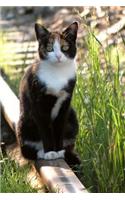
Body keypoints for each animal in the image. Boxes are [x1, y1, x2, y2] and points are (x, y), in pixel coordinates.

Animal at [16, 21, 80, 166]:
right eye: (50, 48)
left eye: (64, 47)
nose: (58, 56)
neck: (57, 73)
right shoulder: (39, 105)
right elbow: (45, 129)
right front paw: (50, 152)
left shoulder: (65, 104)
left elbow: (59, 128)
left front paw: (59, 150)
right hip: (24, 123)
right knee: (27, 151)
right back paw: (41, 152)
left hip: (72, 116)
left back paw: (66, 153)